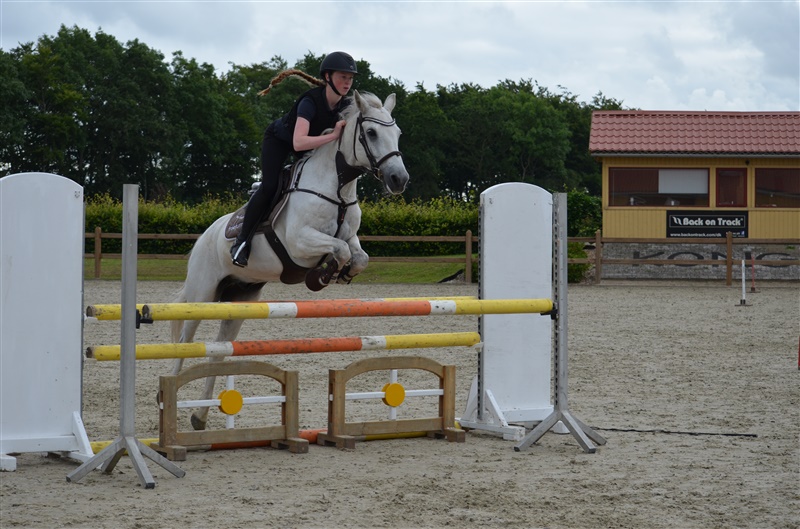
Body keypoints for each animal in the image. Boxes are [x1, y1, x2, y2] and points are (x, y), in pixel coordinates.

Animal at [171, 91, 409, 430]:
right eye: (372, 133)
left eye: (397, 133)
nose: (399, 179)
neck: (337, 188)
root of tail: (205, 235)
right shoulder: (299, 243)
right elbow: (339, 250)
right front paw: (320, 276)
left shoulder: (351, 237)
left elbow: (358, 255)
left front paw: (341, 273)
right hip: (202, 294)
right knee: (185, 340)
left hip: (240, 298)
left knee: (218, 350)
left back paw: (199, 416)